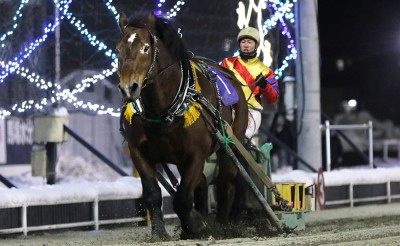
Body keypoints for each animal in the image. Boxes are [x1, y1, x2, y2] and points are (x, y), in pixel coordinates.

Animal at [115, 12, 248, 238]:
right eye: (118, 48)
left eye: (146, 48)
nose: (128, 88)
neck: (161, 109)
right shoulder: (138, 151)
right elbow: (152, 193)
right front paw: (160, 232)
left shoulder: (196, 153)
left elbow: (183, 197)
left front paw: (195, 224)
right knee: (202, 183)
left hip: (230, 143)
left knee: (226, 183)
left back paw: (221, 225)